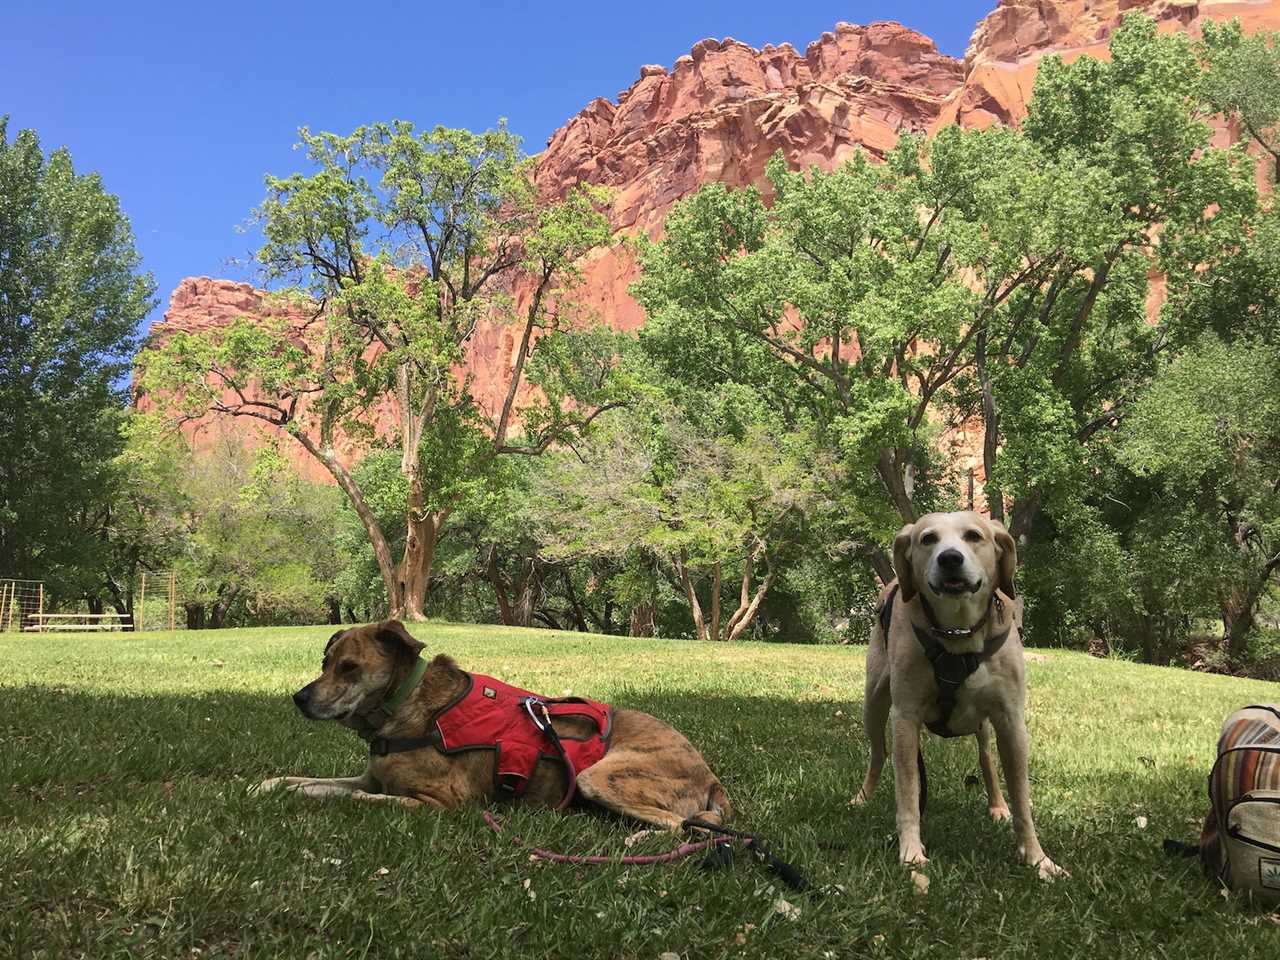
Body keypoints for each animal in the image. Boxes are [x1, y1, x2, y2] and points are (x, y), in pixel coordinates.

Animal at [254, 619, 732, 829]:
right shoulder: (369, 777)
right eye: (325, 662)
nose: (299, 698)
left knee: (685, 826)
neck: (406, 705)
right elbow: (309, 782)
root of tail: (710, 775)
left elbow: (357, 799)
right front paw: (270, 785)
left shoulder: (440, 803)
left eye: (349, 667)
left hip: (600, 776)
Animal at [849, 514, 1070, 885]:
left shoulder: (1011, 720)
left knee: (987, 760)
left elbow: (1022, 799)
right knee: (879, 755)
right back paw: (862, 798)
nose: (950, 558)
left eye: (973, 536)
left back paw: (997, 805)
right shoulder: (905, 717)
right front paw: (911, 853)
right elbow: (908, 793)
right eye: (927, 539)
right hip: (874, 703)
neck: (959, 633)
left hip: (984, 726)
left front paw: (1037, 858)